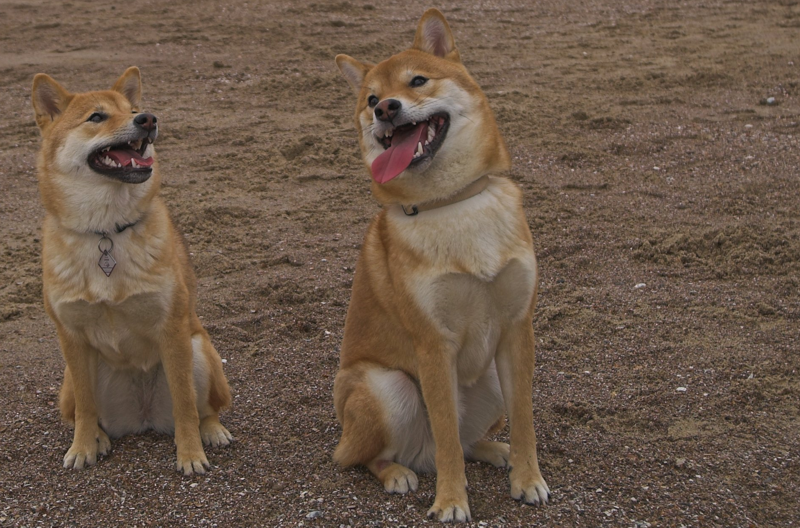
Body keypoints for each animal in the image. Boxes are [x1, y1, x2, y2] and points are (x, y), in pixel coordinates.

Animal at [31, 66, 231, 474]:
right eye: (96, 116)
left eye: (133, 110)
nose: (148, 119)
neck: (107, 231)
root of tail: (142, 418)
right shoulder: (71, 338)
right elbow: (86, 409)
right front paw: (82, 448)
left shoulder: (172, 329)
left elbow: (185, 402)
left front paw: (190, 454)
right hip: (70, 380)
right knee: (84, 412)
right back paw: (100, 438)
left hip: (199, 349)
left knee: (205, 407)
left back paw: (211, 431)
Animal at [332, 9, 552, 524]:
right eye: (370, 98)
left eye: (417, 81)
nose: (386, 109)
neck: (451, 203)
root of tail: (420, 455)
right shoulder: (434, 344)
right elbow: (448, 436)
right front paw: (451, 501)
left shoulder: (517, 330)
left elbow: (524, 419)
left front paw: (528, 478)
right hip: (387, 386)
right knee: (363, 457)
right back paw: (397, 473)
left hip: (490, 377)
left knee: (467, 441)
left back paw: (495, 450)